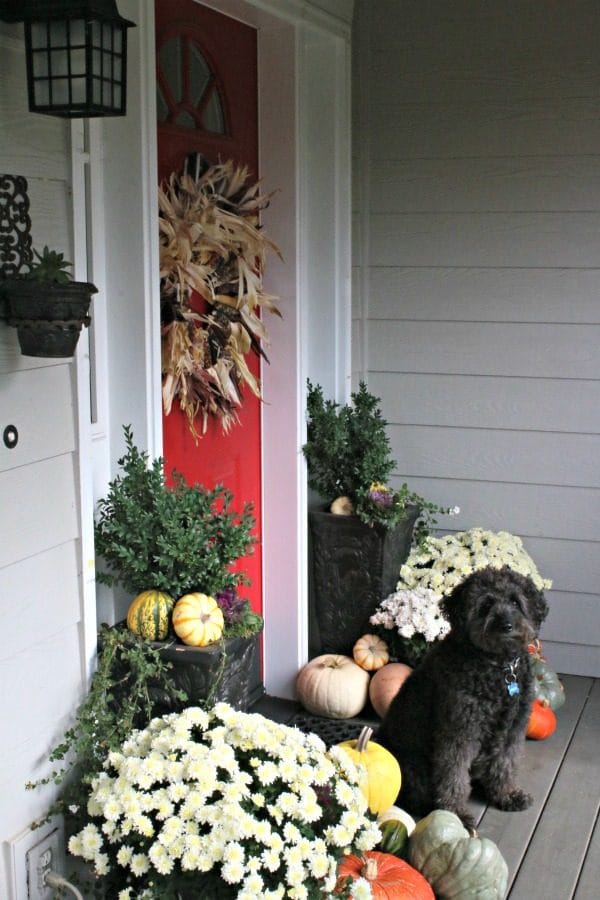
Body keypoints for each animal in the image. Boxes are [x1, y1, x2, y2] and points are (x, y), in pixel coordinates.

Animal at [378, 568, 552, 832]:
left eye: (515, 601)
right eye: (486, 604)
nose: (506, 625)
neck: (497, 666)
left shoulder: (513, 730)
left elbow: (505, 764)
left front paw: (506, 794)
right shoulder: (459, 731)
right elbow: (453, 776)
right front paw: (456, 814)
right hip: (412, 766)